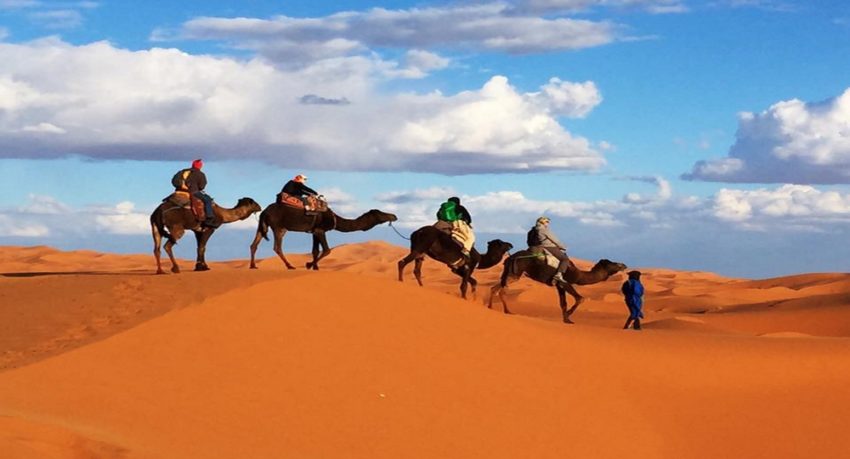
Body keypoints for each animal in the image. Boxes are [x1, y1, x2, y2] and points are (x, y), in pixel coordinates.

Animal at [248, 203, 398, 272]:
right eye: (380, 213)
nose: (394, 216)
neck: (335, 219)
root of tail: (265, 211)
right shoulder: (320, 230)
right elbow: (327, 250)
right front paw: (309, 265)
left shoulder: (314, 231)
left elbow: (315, 250)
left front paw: (315, 267)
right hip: (279, 227)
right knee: (277, 247)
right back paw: (290, 266)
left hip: (262, 226)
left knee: (254, 244)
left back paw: (253, 265)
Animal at [490, 253, 624, 326]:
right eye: (613, 264)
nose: (623, 265)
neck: (578, 275)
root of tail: (508, 258)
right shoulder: (564, 281)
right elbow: (580, 298)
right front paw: (568, 316)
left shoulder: (559, 285)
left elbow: (563, 303)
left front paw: (566, 319)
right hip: (515, 274)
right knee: (502, 290)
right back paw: (508, 311)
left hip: (509, 274)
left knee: (494, 288)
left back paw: (491, 307)